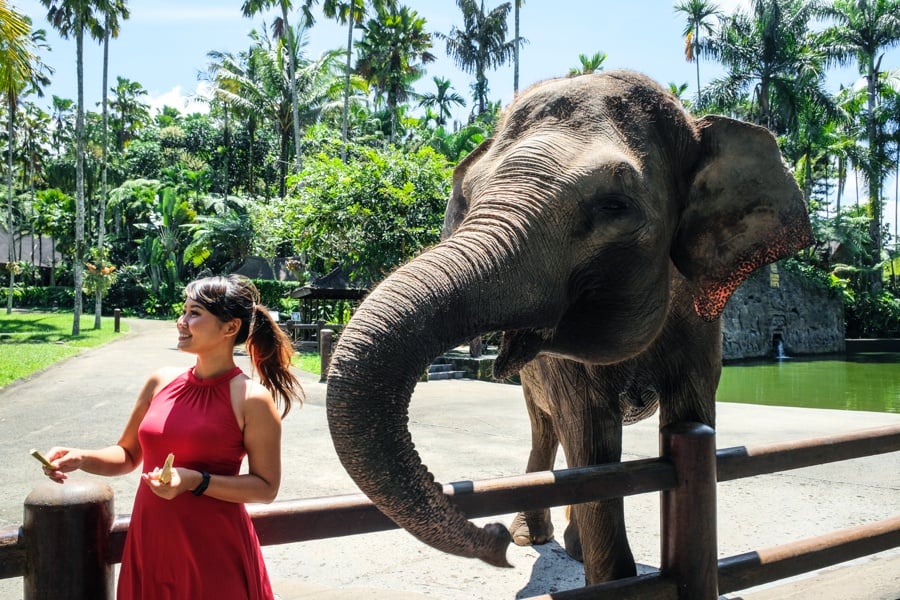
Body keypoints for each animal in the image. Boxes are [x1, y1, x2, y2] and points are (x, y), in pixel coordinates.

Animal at [326, 70, 816, 584]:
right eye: (472, 196)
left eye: (615, 205)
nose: (494, 538)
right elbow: (591, 438)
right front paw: (614, 579)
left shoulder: (703, 329)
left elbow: (691, 414)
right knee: (547, 428)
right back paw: (534, 537)